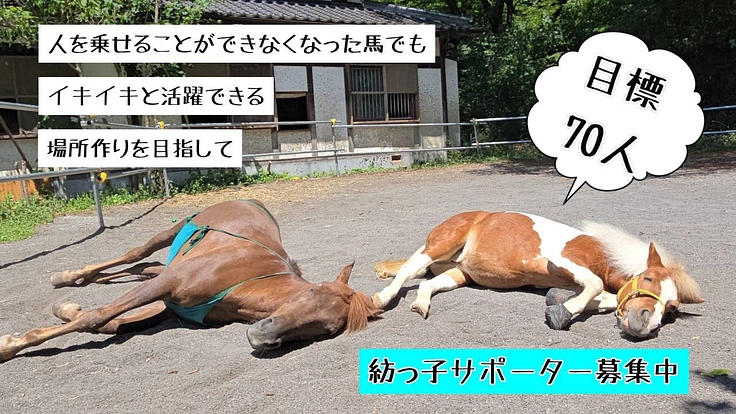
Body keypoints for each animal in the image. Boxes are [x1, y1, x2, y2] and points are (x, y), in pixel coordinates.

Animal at [0, 200, 382, 363]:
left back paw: (75, 285)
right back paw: (68, 276)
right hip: (171, 232)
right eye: (313, 290)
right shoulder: (166, 287)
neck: (243, 281)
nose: (263, 337)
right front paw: (10, 345)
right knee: (136, 254)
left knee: (147, 265)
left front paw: (67, 310)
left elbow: (111, 324)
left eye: (328, 329)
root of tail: (249, 199)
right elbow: (97, 317)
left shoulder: (171, 308)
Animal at [371, 211, 704, 339]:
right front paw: (564, 312)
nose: (644, 324)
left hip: (458, 274)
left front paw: (562, 305)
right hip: (439, 247)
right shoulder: (562, 261)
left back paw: (420, 306)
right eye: (647, 279)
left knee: (426, 285)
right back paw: (380, 300)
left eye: (671, 310)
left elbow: (602, 296)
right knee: (406, 272)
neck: (601, 252)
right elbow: (595, 285)